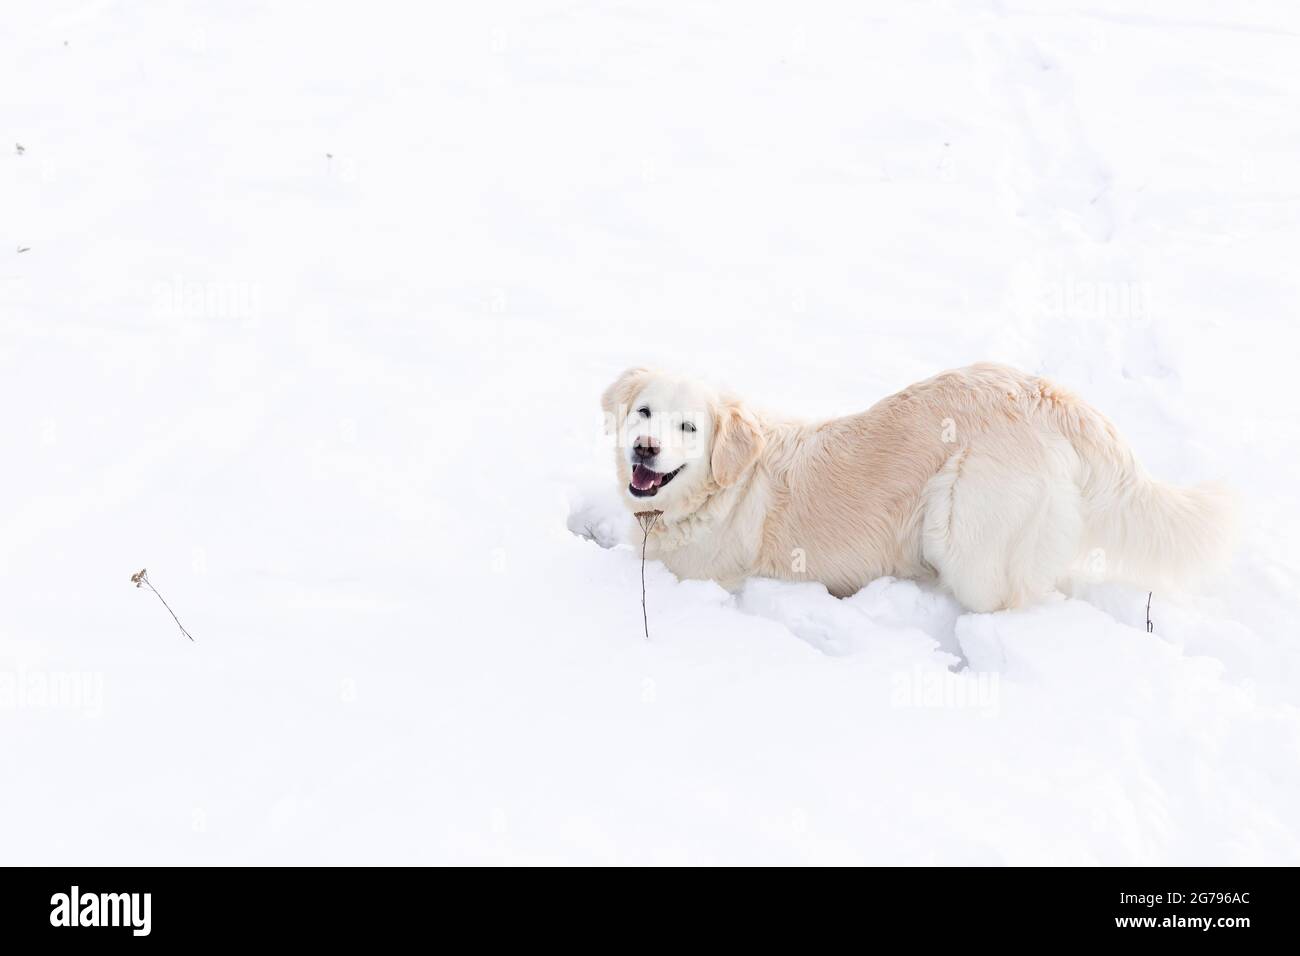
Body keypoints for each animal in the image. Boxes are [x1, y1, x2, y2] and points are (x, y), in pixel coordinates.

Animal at [603, 361, 1232, 616]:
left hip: (964, 528)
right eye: (644, 412)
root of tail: (1045, 392)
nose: (645, 449)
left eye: (690, 427)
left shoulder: (700, 571)